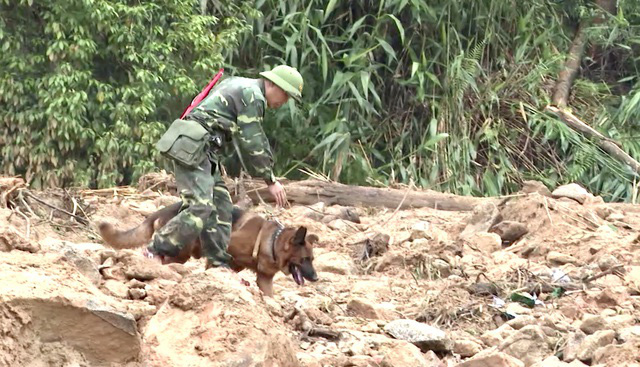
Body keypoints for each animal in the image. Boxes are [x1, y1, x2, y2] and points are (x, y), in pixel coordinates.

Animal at [99, 203, 318, 298]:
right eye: (305, 259)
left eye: (312, 259)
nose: (316, 278)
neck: (271, 241)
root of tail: (162, 210)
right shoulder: (222, 251)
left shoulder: (264, 279)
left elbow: (269, 295)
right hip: (180, 253)